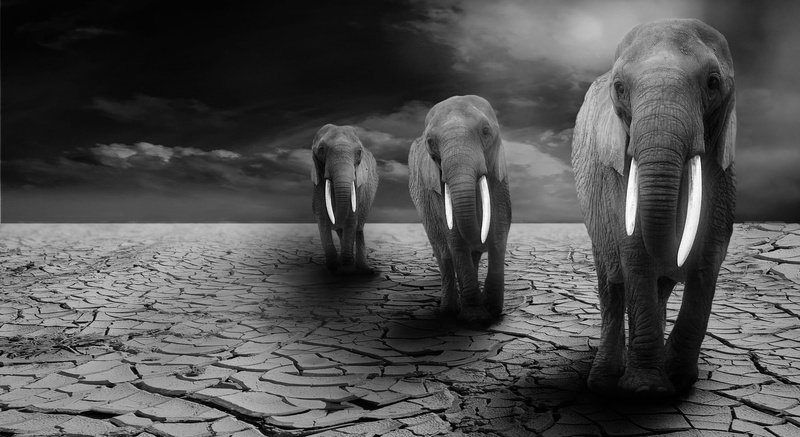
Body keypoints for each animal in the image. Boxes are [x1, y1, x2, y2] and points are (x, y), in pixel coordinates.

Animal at [311, 124, 379, 275]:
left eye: (359, 152)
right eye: (321, 149)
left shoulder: (358, 183)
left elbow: (351, 218)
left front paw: (346, 270)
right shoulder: (318, 181)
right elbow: (322, 218)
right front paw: (334, 266)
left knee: (358, 228)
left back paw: (365, 270)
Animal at [409, 95, 512, 324]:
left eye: (485, 130)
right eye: (430, 142)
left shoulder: (499, 175)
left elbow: (500, 228)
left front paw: (492, 310)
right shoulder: (436, 188)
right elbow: (455, 235)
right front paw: (476, 318)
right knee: (444, 255)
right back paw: (448, 311)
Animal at [571, 18, 736, 398]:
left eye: (713, 83)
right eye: (619, 88)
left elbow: (710, 254)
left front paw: (677, 377)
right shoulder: (617, 173)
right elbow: (635, 251)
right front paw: (647, 390)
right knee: (611, 283)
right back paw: (603, 380)